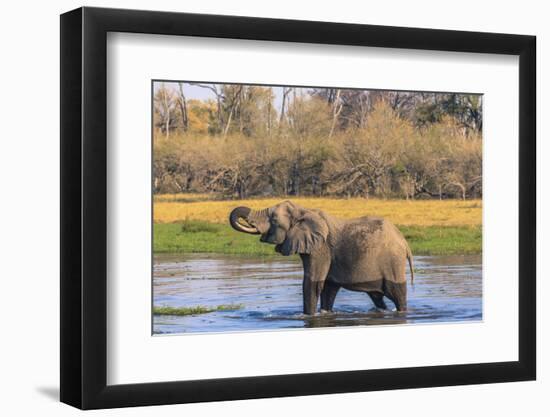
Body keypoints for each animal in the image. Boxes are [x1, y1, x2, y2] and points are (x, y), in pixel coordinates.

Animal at [229, 200, 414, 314]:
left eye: (273, 219)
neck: (303, 210)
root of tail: (405, 243)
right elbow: (328, 289)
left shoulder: (320, 248)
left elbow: (312, 283)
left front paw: (307, 316)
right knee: (377, 296)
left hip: (393, 261)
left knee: (396, 292)